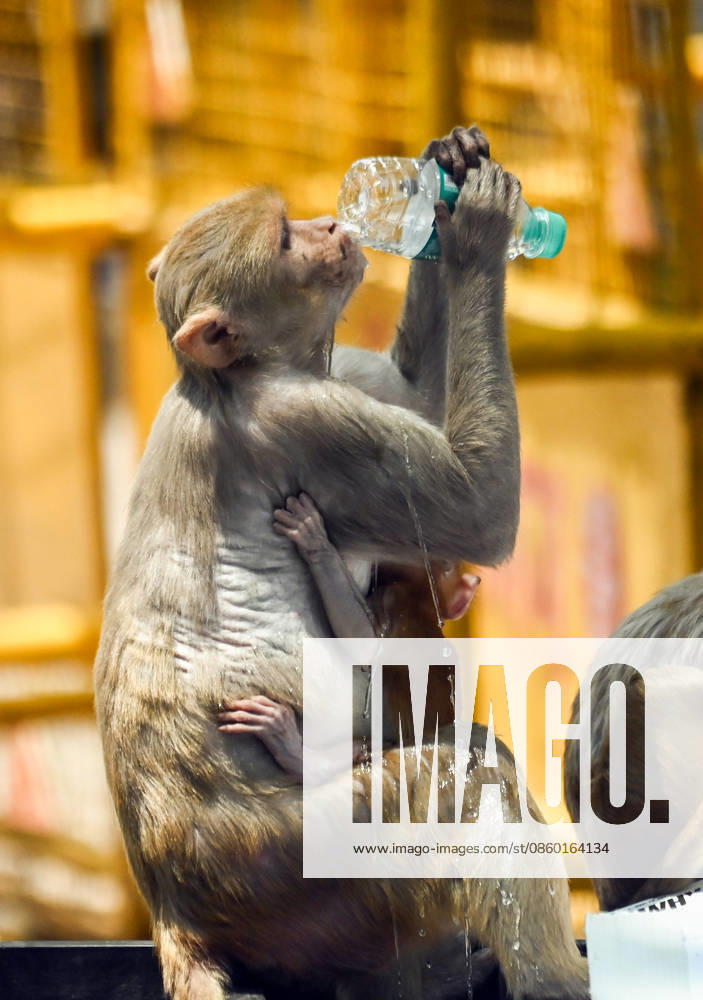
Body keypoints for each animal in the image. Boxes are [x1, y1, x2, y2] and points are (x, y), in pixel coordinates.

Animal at [94, 126, 589, 1000]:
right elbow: (479, 509)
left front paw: (448, 165)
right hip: (311, 869)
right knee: (457, 783)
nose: (331, 225)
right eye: (286, 240)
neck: (240, 375)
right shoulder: (311, 423)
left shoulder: (338, 378)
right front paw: (475, 235)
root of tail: (172, 906)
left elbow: (418, 396)